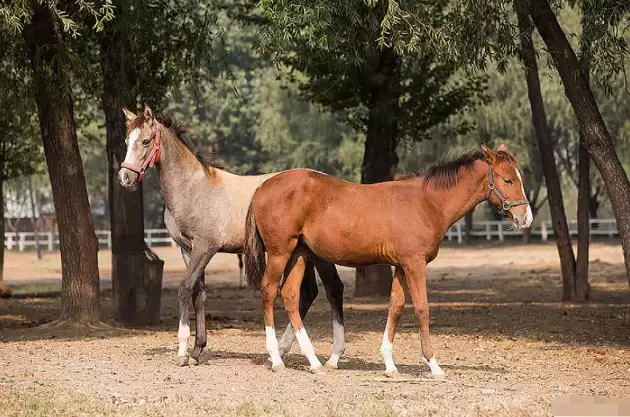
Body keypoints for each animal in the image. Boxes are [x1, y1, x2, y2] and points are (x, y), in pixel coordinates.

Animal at [244, 143, 532, 374]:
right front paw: (434, 365)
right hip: (280, 253)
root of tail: (262, 187)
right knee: (269, 292)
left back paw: (315, 363)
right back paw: (277, 360)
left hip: (300, 254)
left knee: (291, 296)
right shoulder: (414, 263)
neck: (426, 203)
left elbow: (396, 306)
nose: (526, 219)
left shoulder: (401, 265)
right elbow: (421, 308)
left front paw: (390, 365)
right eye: (508, 180)